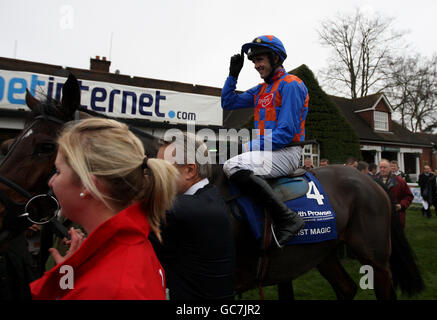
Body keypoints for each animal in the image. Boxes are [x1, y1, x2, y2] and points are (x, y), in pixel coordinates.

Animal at [0, 74, 422, 298]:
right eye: (13, 141)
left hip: (375, 258)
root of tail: (372, 181)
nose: (3, 209)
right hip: (324, 252)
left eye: (45, 147)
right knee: (346, 288)